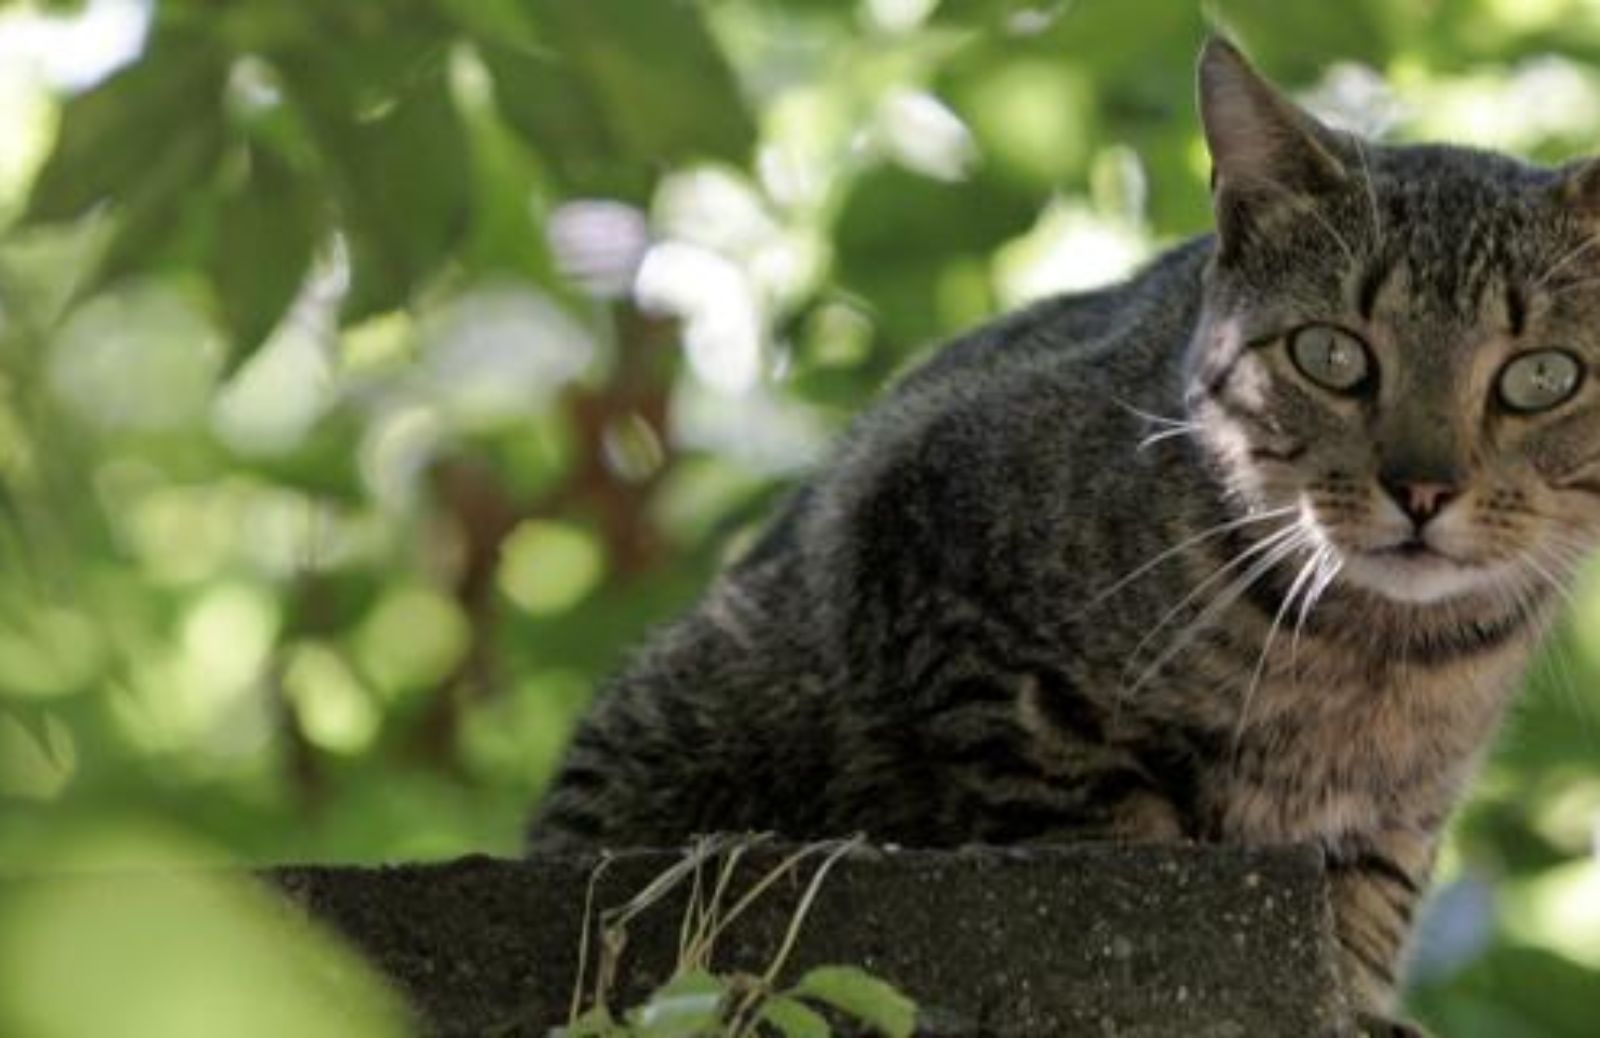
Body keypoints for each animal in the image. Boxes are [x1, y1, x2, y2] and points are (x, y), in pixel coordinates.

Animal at [528, 36, 1600, 1030]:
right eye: (1331, 355)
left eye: (1543, 376)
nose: (1422, 488)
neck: (1373, 664)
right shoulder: (940, 575)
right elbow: (1100, 815)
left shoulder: (1390, 823)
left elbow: (1361, 925)